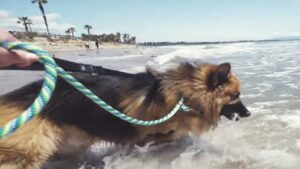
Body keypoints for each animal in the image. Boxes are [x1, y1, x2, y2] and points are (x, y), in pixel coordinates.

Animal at [0, 61, 250, 168]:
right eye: (235, 96)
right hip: (29, 150)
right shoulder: (149, 134)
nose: (248, 113)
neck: (182, 98)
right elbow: (166, 137)